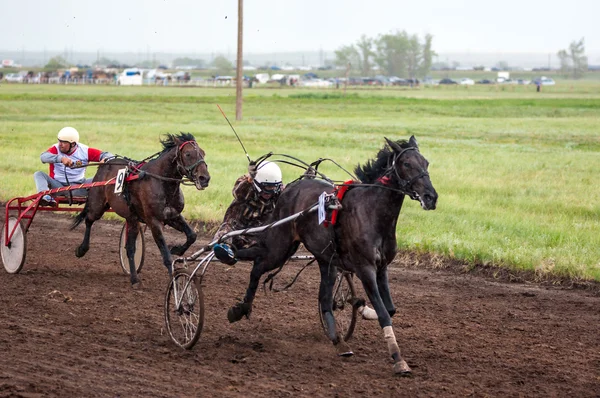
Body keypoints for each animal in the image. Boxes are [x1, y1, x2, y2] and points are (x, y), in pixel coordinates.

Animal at [71, 133, 211, 286]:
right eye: (188, 154)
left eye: (203, 153)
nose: (204, 178)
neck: (161, 183)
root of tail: (105, 164)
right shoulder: (154, 221)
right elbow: (166, 256)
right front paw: (174, 280)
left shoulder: (172, 216)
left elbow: (192, 235)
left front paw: (177, 249)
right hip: (98, 205)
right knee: (89, 219)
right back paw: (81, 249)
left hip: (132, 219)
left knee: (130, 248)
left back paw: (134, 278)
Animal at [227, 136, 438, 374]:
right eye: (406, 164)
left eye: (426, 162)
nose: (431, 197)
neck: (371, 213)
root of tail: (290, 187)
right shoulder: (365, 268)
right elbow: (385, 313)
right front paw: (398, 358)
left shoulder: (382, 267)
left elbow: (390, 309)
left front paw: (363, 308)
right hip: (280, 247)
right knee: (257, 268)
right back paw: (238, 302)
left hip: (324, 259)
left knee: (325, 299)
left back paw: (338, 340)